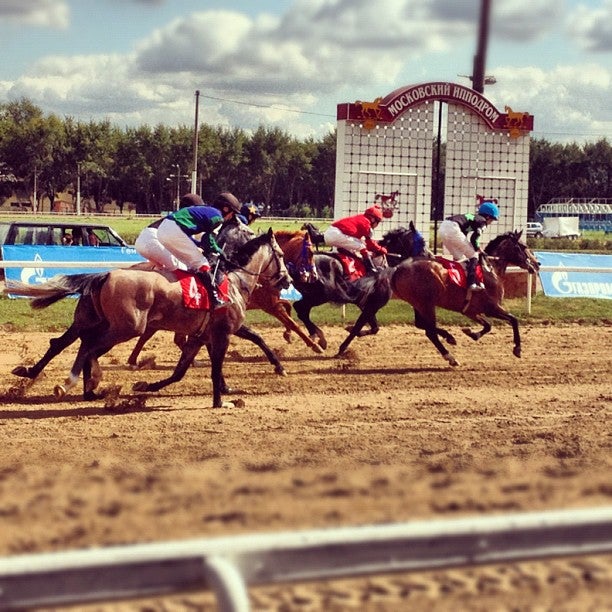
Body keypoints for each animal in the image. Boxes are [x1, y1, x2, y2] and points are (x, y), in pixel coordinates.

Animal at [5, 228, 290, 406]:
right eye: (281, 255)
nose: (286, 280)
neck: (233, 278)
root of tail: (105, 275)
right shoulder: (224, 331)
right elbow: (243, 346)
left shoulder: (203, 335)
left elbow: (182, 370)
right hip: (126, 327)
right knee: (88, 346)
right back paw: (76, 382)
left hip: (98, 322)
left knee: (70, 343)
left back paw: (71, 383)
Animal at [390, 228, 536, 364]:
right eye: (523, 247)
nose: (536, 265)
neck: (491, 269)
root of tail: (398, 268)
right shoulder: (491, 308)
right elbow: (514, 320)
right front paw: (517, 349)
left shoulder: (471, 311)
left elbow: (488, 325)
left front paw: (472, 334)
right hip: (426, 305)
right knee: (430, 331)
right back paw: (450, 357)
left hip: (417, 304)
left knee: (422, 325)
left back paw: (449, 337)